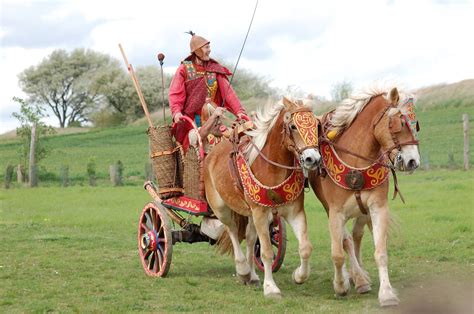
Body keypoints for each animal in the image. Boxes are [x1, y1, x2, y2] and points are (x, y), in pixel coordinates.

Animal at [205, 97, 322, 296]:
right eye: (293, 126)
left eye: (317, 125)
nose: (312, 159)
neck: (272, 168)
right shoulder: (260, 213)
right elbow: (266, 251)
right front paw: (271, 287)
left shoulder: (295, 212)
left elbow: (306, 247)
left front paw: (299, 276)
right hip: (221, 209)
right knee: (233, 231)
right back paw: (243, 270)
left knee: (251, 238)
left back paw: (251, 275)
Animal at [310, 87, 420, 308]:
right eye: (399, 123)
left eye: (416, 124)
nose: (413, 161)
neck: (356, 162)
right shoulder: (335, 212)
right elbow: (338, 252)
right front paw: (341, 285)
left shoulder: (378, 208)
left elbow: (380, 252)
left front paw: (386, 293)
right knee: (347, 241)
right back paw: (354, 277)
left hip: (362, 211)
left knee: (357, 235)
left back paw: (359, 276)